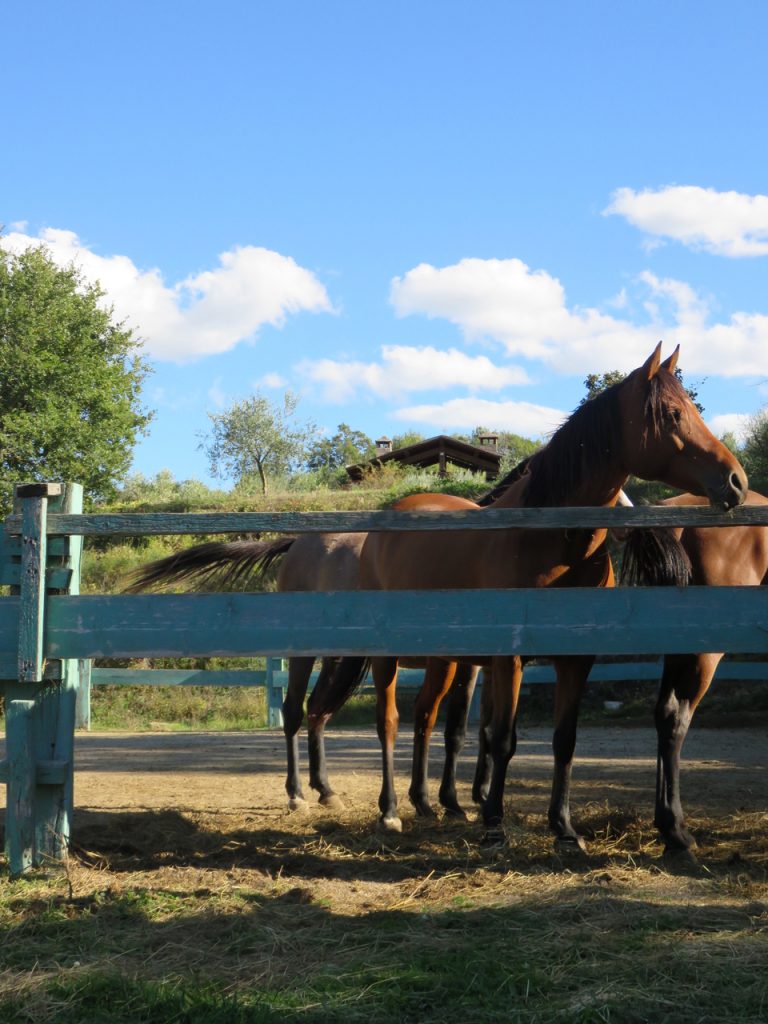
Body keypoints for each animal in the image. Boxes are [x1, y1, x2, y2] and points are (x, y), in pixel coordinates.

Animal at [309, 344, 749, 839]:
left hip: (444, 659)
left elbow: (564, 740)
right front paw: (494, 824)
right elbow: (502, 739)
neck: (552, 538)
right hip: (388, 656)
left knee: (424, 717)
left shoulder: (575, 660)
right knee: (389, 723)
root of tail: (386, 523)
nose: (736, 481)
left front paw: (564, 828)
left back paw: (423, 802)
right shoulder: (509, 658)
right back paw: (389, 810)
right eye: (673, 414)